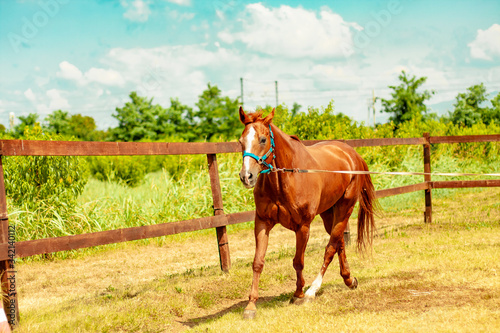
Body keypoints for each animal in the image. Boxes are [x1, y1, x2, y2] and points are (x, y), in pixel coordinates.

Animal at [237, 107, 376, 318]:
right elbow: (258, 262)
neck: (288, 176)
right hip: (328, 213)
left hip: (345, 208)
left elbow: (298, 261)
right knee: (339, 243)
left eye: (262, 139)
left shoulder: (303, 226)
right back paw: (349, 279)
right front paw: (251, 306)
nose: (247, 177)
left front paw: (298, 294)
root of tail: (351, 154)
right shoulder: (262, 222)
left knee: (330, 248)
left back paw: (313, 290)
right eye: (240, 141)